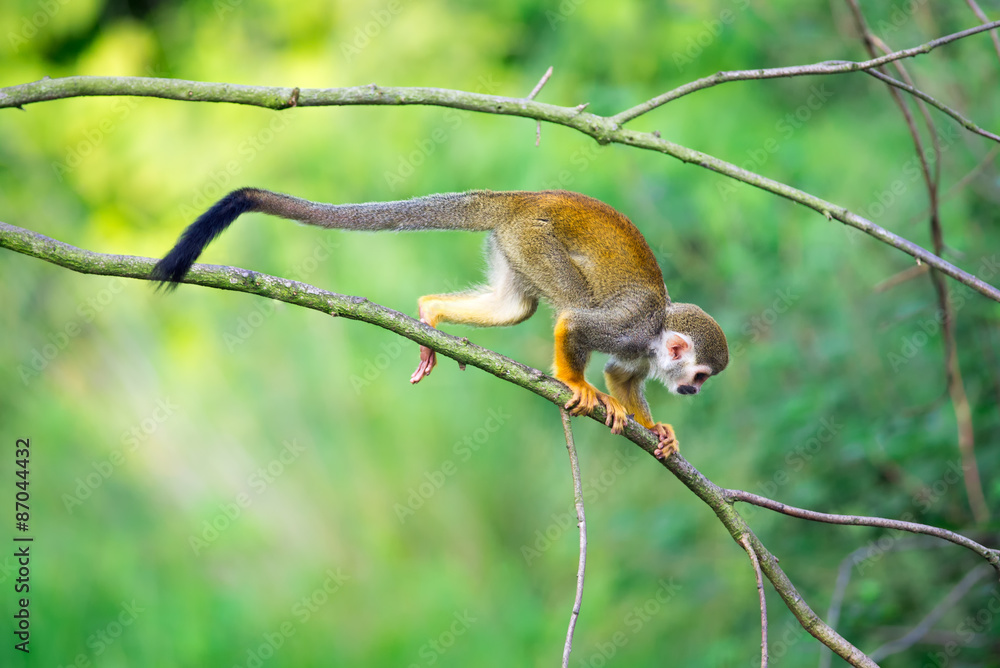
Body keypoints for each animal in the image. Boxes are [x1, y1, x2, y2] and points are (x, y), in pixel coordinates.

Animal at [152, 188, 729, 458]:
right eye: (700, 376)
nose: (695, 392)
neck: (655, 335)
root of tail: (522, 197)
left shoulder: (639, 351)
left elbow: (621, 375)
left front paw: (656, 429)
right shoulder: (631, 326)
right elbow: (577, 328)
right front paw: (578, 385)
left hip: (513, 244)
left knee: (516, 307)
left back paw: (430, 312)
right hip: (534, 237)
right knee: (567, 304)